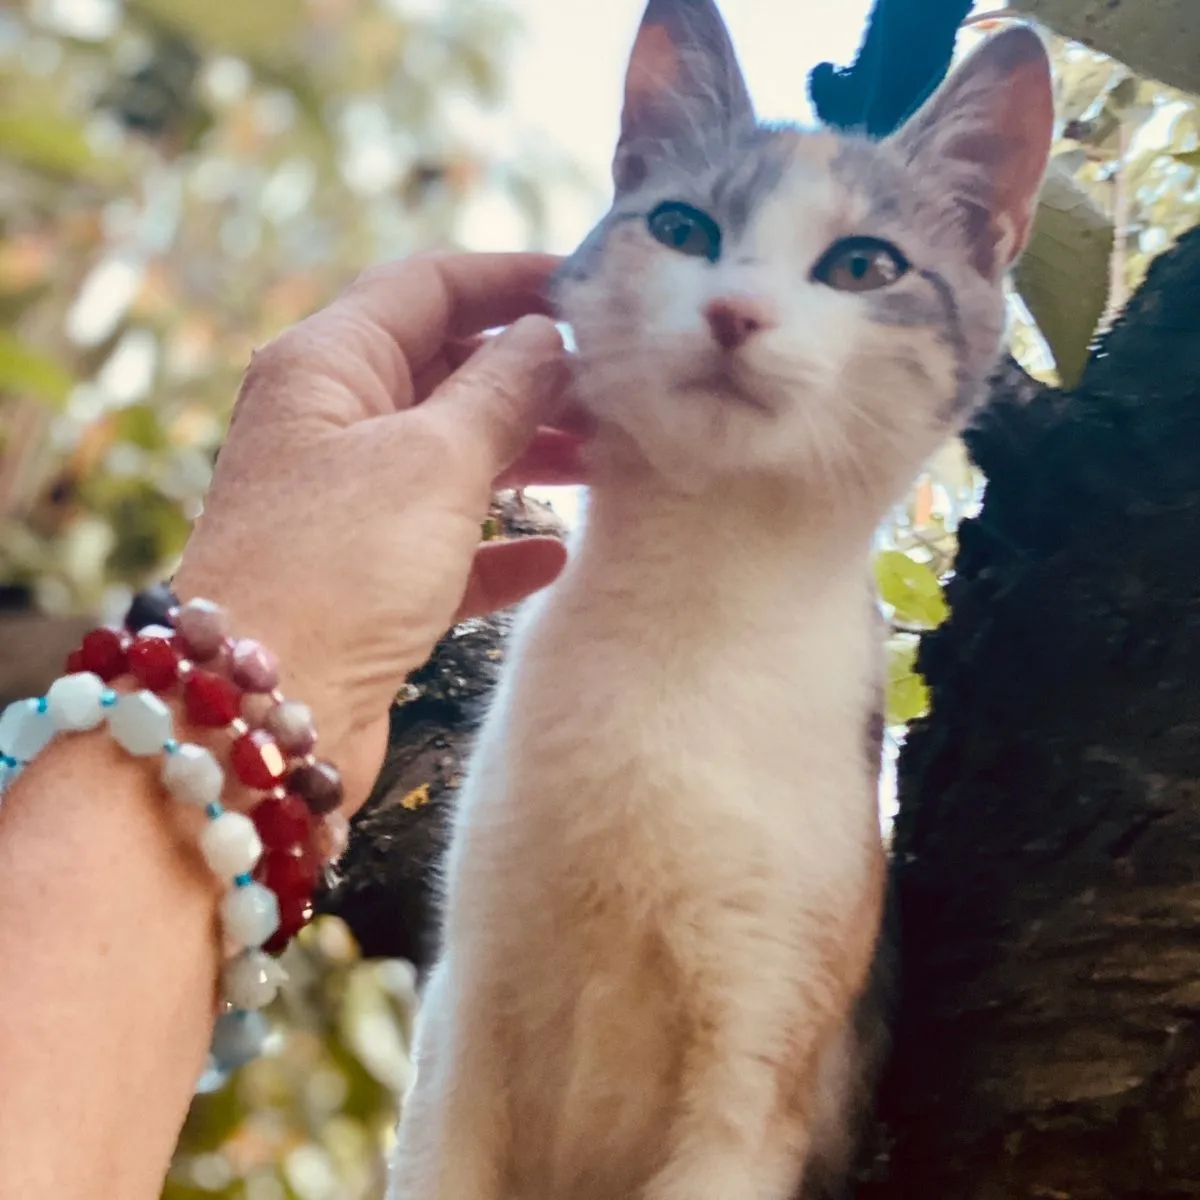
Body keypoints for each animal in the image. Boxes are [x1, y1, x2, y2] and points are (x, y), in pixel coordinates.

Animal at [391, 4, 1051, 1195]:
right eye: (683, 228)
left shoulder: (761, 1059)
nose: (735, 311)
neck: (695, 600)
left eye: (863, 264)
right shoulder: (463, 1012)